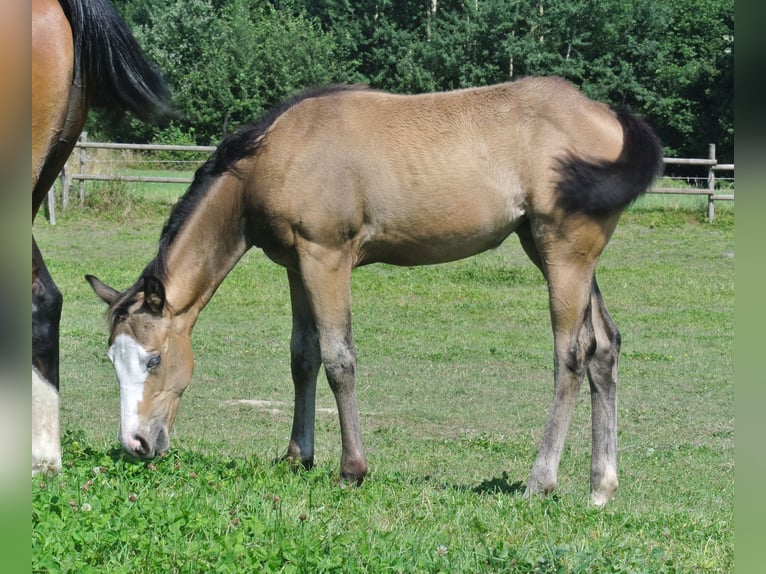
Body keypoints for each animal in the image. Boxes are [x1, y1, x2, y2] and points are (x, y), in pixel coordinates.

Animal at [84, 79, 664, 506]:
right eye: (113, 360)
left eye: (155, 359)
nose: (135, 444)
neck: (276, 155)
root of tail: (607, 116)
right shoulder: (297, 265)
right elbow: (303, 355)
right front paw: (297, 457)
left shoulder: (327, 258)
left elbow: (339, 358)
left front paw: (351, 469)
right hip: (559, 255)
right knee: (605, 347)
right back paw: (600, 488)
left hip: (563, 253)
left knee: (571, 355)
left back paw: (540, 481)